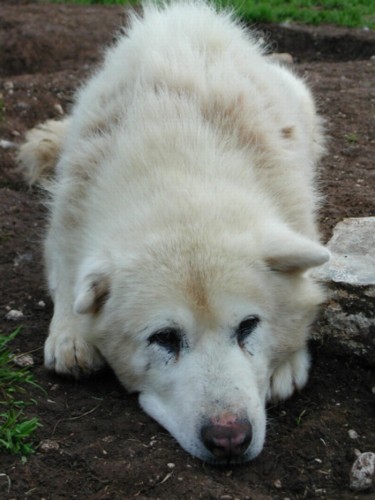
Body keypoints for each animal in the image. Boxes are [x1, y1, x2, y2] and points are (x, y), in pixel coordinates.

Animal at [18, 1, 328, 464]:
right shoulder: (66, 226)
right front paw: (70, 335)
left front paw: (288, 362)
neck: (179, 164)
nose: (229, 439)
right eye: (164, 338)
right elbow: (68, 281)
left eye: (248, 326)